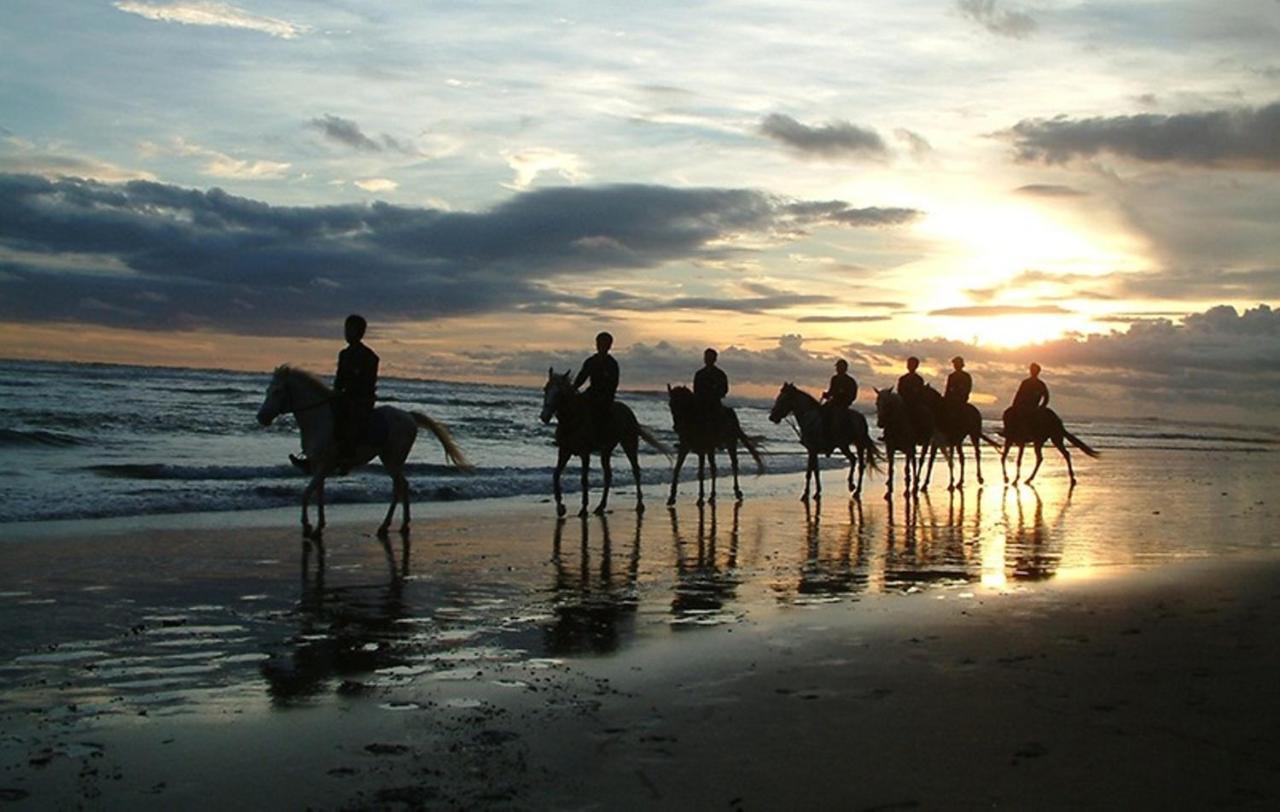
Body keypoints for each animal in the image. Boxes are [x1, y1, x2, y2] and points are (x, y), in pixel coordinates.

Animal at [254, 366, 471, 537]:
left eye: (278, 391)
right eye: (268, 390)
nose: (261, 418)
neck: (319, 420)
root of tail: (409, 416)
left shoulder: (325, 464)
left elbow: (307, 493)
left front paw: (307, 526)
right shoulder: (318, 465)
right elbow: (318, 493)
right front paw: (318, 526)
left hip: (391, 459)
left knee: (400, 486)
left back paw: (390, 525)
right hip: (391, 459)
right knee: (401, 486)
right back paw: (397, 525)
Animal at [537, 366, 670, 512]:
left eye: (560, 393)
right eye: (545, 389)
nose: (544, 416)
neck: (572, 420)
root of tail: (629, 412)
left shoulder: (585, 454)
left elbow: (584, 479)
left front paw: (583, 507)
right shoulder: (564, 451)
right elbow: (556, 475)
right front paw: (561, 507)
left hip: (629, 443)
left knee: (636, 470)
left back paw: (639, 504)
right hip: (606, 450)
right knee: (608, 475)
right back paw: (601, 505)